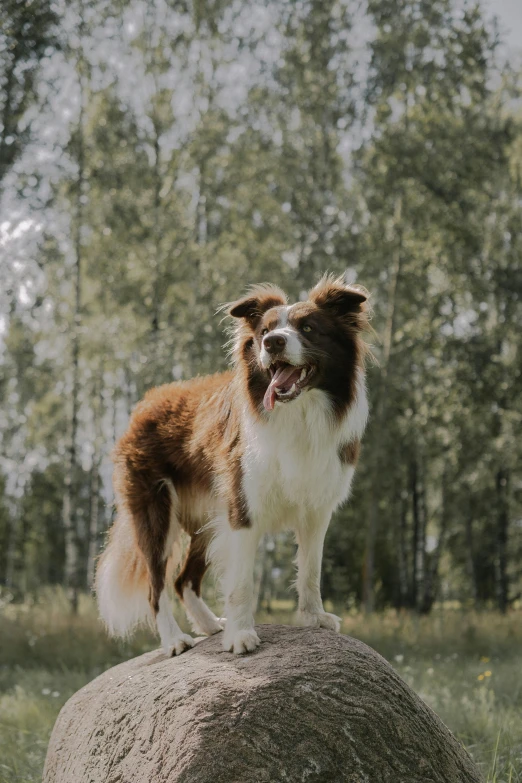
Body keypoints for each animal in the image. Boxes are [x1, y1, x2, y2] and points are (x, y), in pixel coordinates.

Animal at [94, 276, 370, 656]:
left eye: (308, 328)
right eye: (265, 330)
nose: (272, 342)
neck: (299, 413)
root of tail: (144, 404)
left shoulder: (316, 507)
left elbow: (311, 570)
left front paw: (314, 618)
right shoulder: (243, 507)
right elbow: (241, 582)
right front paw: (240, 635)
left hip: (209, 513)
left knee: (183, 580)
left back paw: (210, 625)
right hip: (156, 509)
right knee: (157, 584)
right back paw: (175, 639)